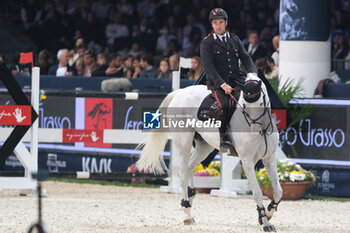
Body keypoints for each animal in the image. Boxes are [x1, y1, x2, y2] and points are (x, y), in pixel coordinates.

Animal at [136, 74, 282, 231]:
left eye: (261, 103)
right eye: (243, 105)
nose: (254, 132)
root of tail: (180, 92)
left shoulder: (269, 159)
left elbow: (278, 191)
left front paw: (269, 212)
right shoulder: (247, 161)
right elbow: (257, 192)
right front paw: (266, 222)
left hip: (204, 146)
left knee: (190, 167)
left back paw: (191, 195)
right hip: (184, 143)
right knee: (182, 173)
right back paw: (187, 212)